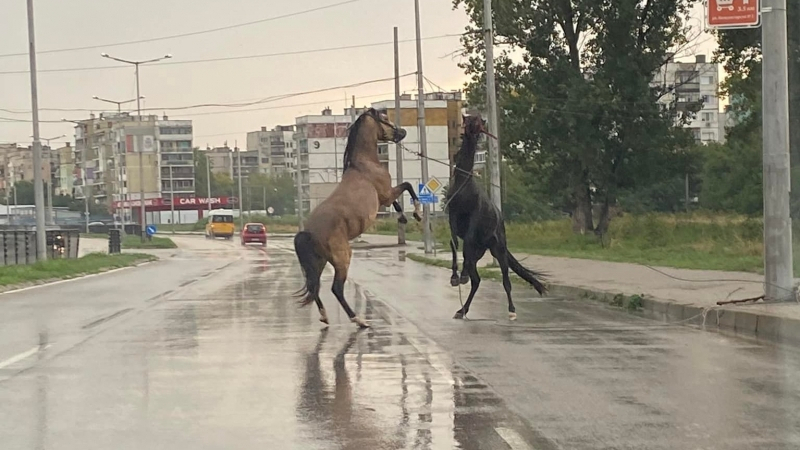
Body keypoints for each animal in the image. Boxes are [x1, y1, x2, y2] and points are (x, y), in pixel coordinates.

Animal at [296, 107, 422, 328]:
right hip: (342, 258)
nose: (403, 132)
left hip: (319, 262)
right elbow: (407, 185)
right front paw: (416, 213)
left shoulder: (385, 196)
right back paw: (359, 320)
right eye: (385, 118)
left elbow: (398, 200)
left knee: (314, 286)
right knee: (335, 288)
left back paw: (325, 316)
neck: (364, 164)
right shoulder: (386, 193)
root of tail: (308, 232)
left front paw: (403, 218)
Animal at [446, 116, 548, 320]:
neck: (463, 186)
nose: (473, 128)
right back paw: (462, 309)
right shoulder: (452, 216)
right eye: (469, 119)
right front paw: (454, 277)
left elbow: (466, 241)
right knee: (476, 279)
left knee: (505, 281)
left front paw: (461, 275)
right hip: (480, 252)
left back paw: (512, 311)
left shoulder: (474, 217)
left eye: (479, 121)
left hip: (498, 249)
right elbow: (454, 243)